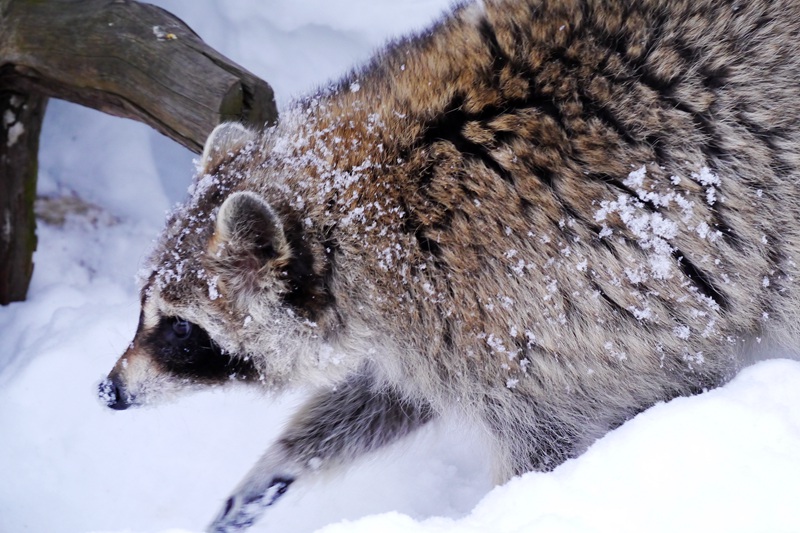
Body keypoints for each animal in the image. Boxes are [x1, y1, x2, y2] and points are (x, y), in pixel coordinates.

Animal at [101, 0, 800, 528]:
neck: (376, 201)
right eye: (142, 307)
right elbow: (386, 396)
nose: (109, 391)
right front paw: (282, 461)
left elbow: (546, 450)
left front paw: (513, 510)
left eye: (182, 330)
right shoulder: (446, 324)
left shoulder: (537, 313)